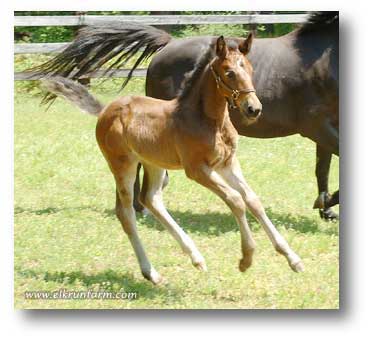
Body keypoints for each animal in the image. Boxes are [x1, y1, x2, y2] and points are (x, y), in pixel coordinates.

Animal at [34, 11, 340, 220]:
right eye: (229, 72)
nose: (254, 108)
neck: (324, 60)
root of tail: (167, 45)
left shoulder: (325, 127)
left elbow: (321, 169)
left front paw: (324, 208)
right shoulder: (317, 126)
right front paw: (327, 204)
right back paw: (139, 208)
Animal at [44, 35, 306, 284]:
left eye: (250, 70)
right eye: (229, 72)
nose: (253, 109)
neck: (208, 120)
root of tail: (105, 110)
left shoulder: (228, 163)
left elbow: (252, 200)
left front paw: (292, 259)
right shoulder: (197, 169)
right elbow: (235, 200)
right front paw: (246, 258)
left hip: (153, 163)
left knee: (151, 199)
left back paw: (196, 258)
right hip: (123, 165)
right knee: (126, 212)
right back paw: (152, 273)